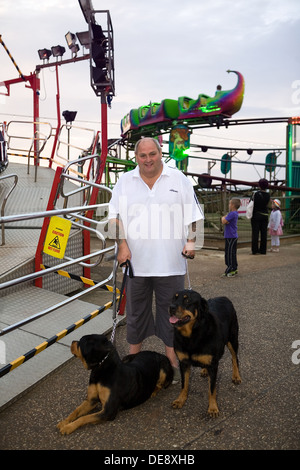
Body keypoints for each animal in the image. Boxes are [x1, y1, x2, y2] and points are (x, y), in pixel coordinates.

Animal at [169, 288, 241, 416]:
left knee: (234, 358)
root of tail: (224, 297)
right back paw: (204, 370)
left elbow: (211, 389)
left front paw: (212, 408)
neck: (192, 335)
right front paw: (180, 400)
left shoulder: (213, 365)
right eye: (174, 298)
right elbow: (184, 384)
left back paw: (236, 376)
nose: (171, 307)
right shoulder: (183, 363)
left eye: (187, 300)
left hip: (232, 339)